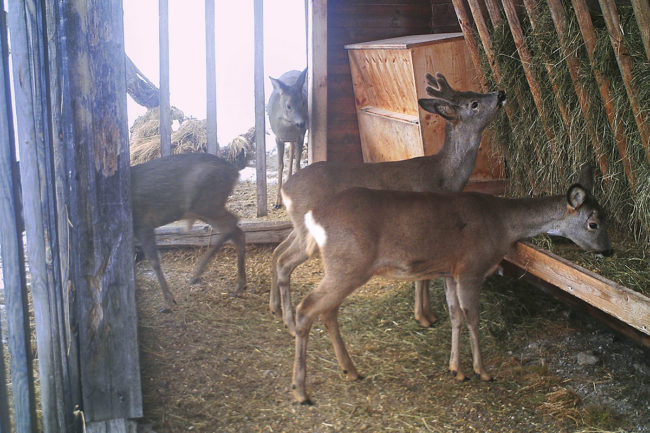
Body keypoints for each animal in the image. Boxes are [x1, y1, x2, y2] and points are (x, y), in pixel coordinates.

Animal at [130, 152, 246, 310]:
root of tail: (235, 173)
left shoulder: (143, 222)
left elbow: (154, 260)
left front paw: (168, 301)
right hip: (206, 208)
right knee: (237, 231)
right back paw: (239, 284)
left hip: (206, 203)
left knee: (232, 224)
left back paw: (199, 274)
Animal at [268, 67, 308, 208]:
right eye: (288, 106)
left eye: (303, 103)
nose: (301, 123)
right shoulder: (278, 138)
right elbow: (280, 165)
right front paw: (277, 201)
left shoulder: (301, 136)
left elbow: (297, 163)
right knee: (290, 151)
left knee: (292, 154)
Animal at [292, 167, 612, 404]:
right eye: (593, 223)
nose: (608, 250)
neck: (503, 225)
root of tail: (313, 215)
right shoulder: (472, 267)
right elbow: (473, 318)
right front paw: (482, 371)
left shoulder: (450, 271)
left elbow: (455, 316)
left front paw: (456, 369)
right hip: (348, 264)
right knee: (306, 308)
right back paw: (302, 392)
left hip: (342, 268)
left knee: (327, 311)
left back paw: (350, 371)